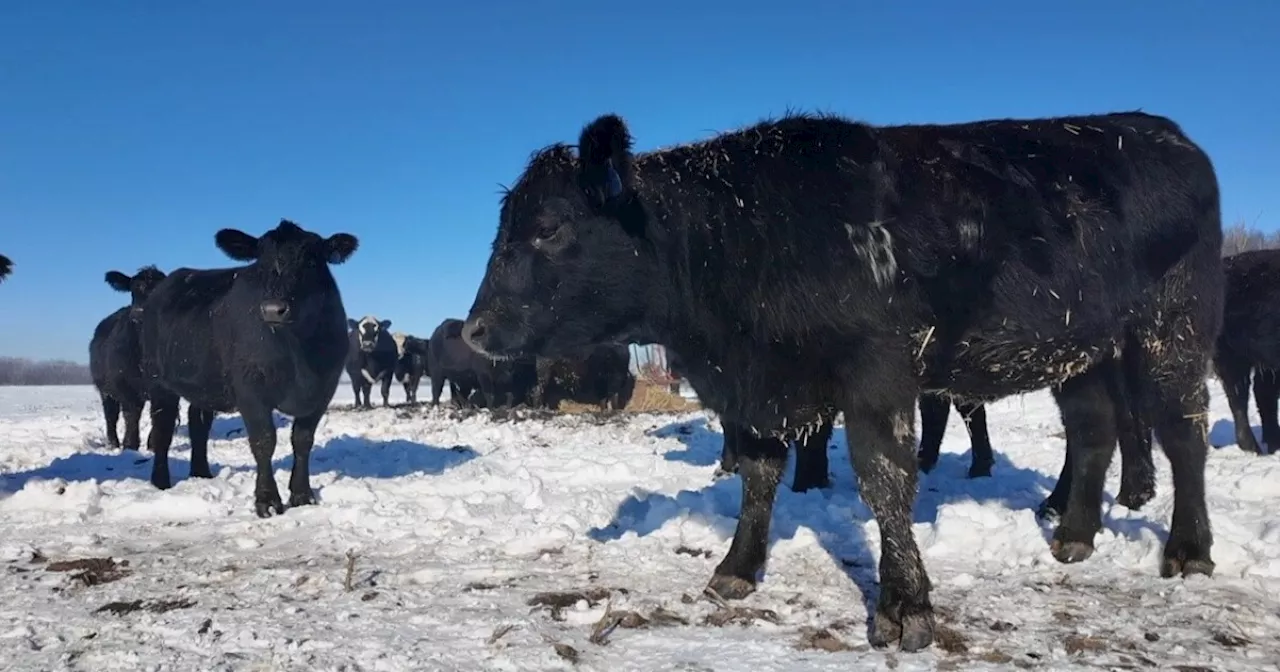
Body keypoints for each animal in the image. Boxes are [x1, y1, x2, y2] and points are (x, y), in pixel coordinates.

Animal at [88, 264, 167, 448]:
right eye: (133, 289)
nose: (139, 313)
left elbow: (157, 414)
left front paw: (153, 445)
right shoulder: (124, 384)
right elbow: (132, 414)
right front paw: (130, 445)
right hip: (105, 390)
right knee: (111, 415)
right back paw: (113, 443)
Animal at [138, 217, 358, 517]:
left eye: (311, 262)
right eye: (260, 264)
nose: (274, 309)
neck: (299, 353)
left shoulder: (324, 388)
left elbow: (302, 440)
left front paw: (302, 494)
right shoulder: (250, 390)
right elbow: (264, 440)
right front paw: (267, 500)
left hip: (205, 383)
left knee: (199, 424)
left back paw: (201, 473)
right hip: (157, 380)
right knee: (162, 429)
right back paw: (161, 481)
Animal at [465, 111, 1223, 650]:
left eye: (550, 226)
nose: (474, 330)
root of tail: (1166, 133)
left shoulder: (876, 371)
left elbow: (884, 480)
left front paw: (904, 606)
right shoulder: (759, 390)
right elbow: (759, 476)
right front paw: (737, 569)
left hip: (1174, 328)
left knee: (1183, 434)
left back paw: (1187, 551)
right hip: (1083, 351)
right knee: (1093, 435)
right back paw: (1075, 536)